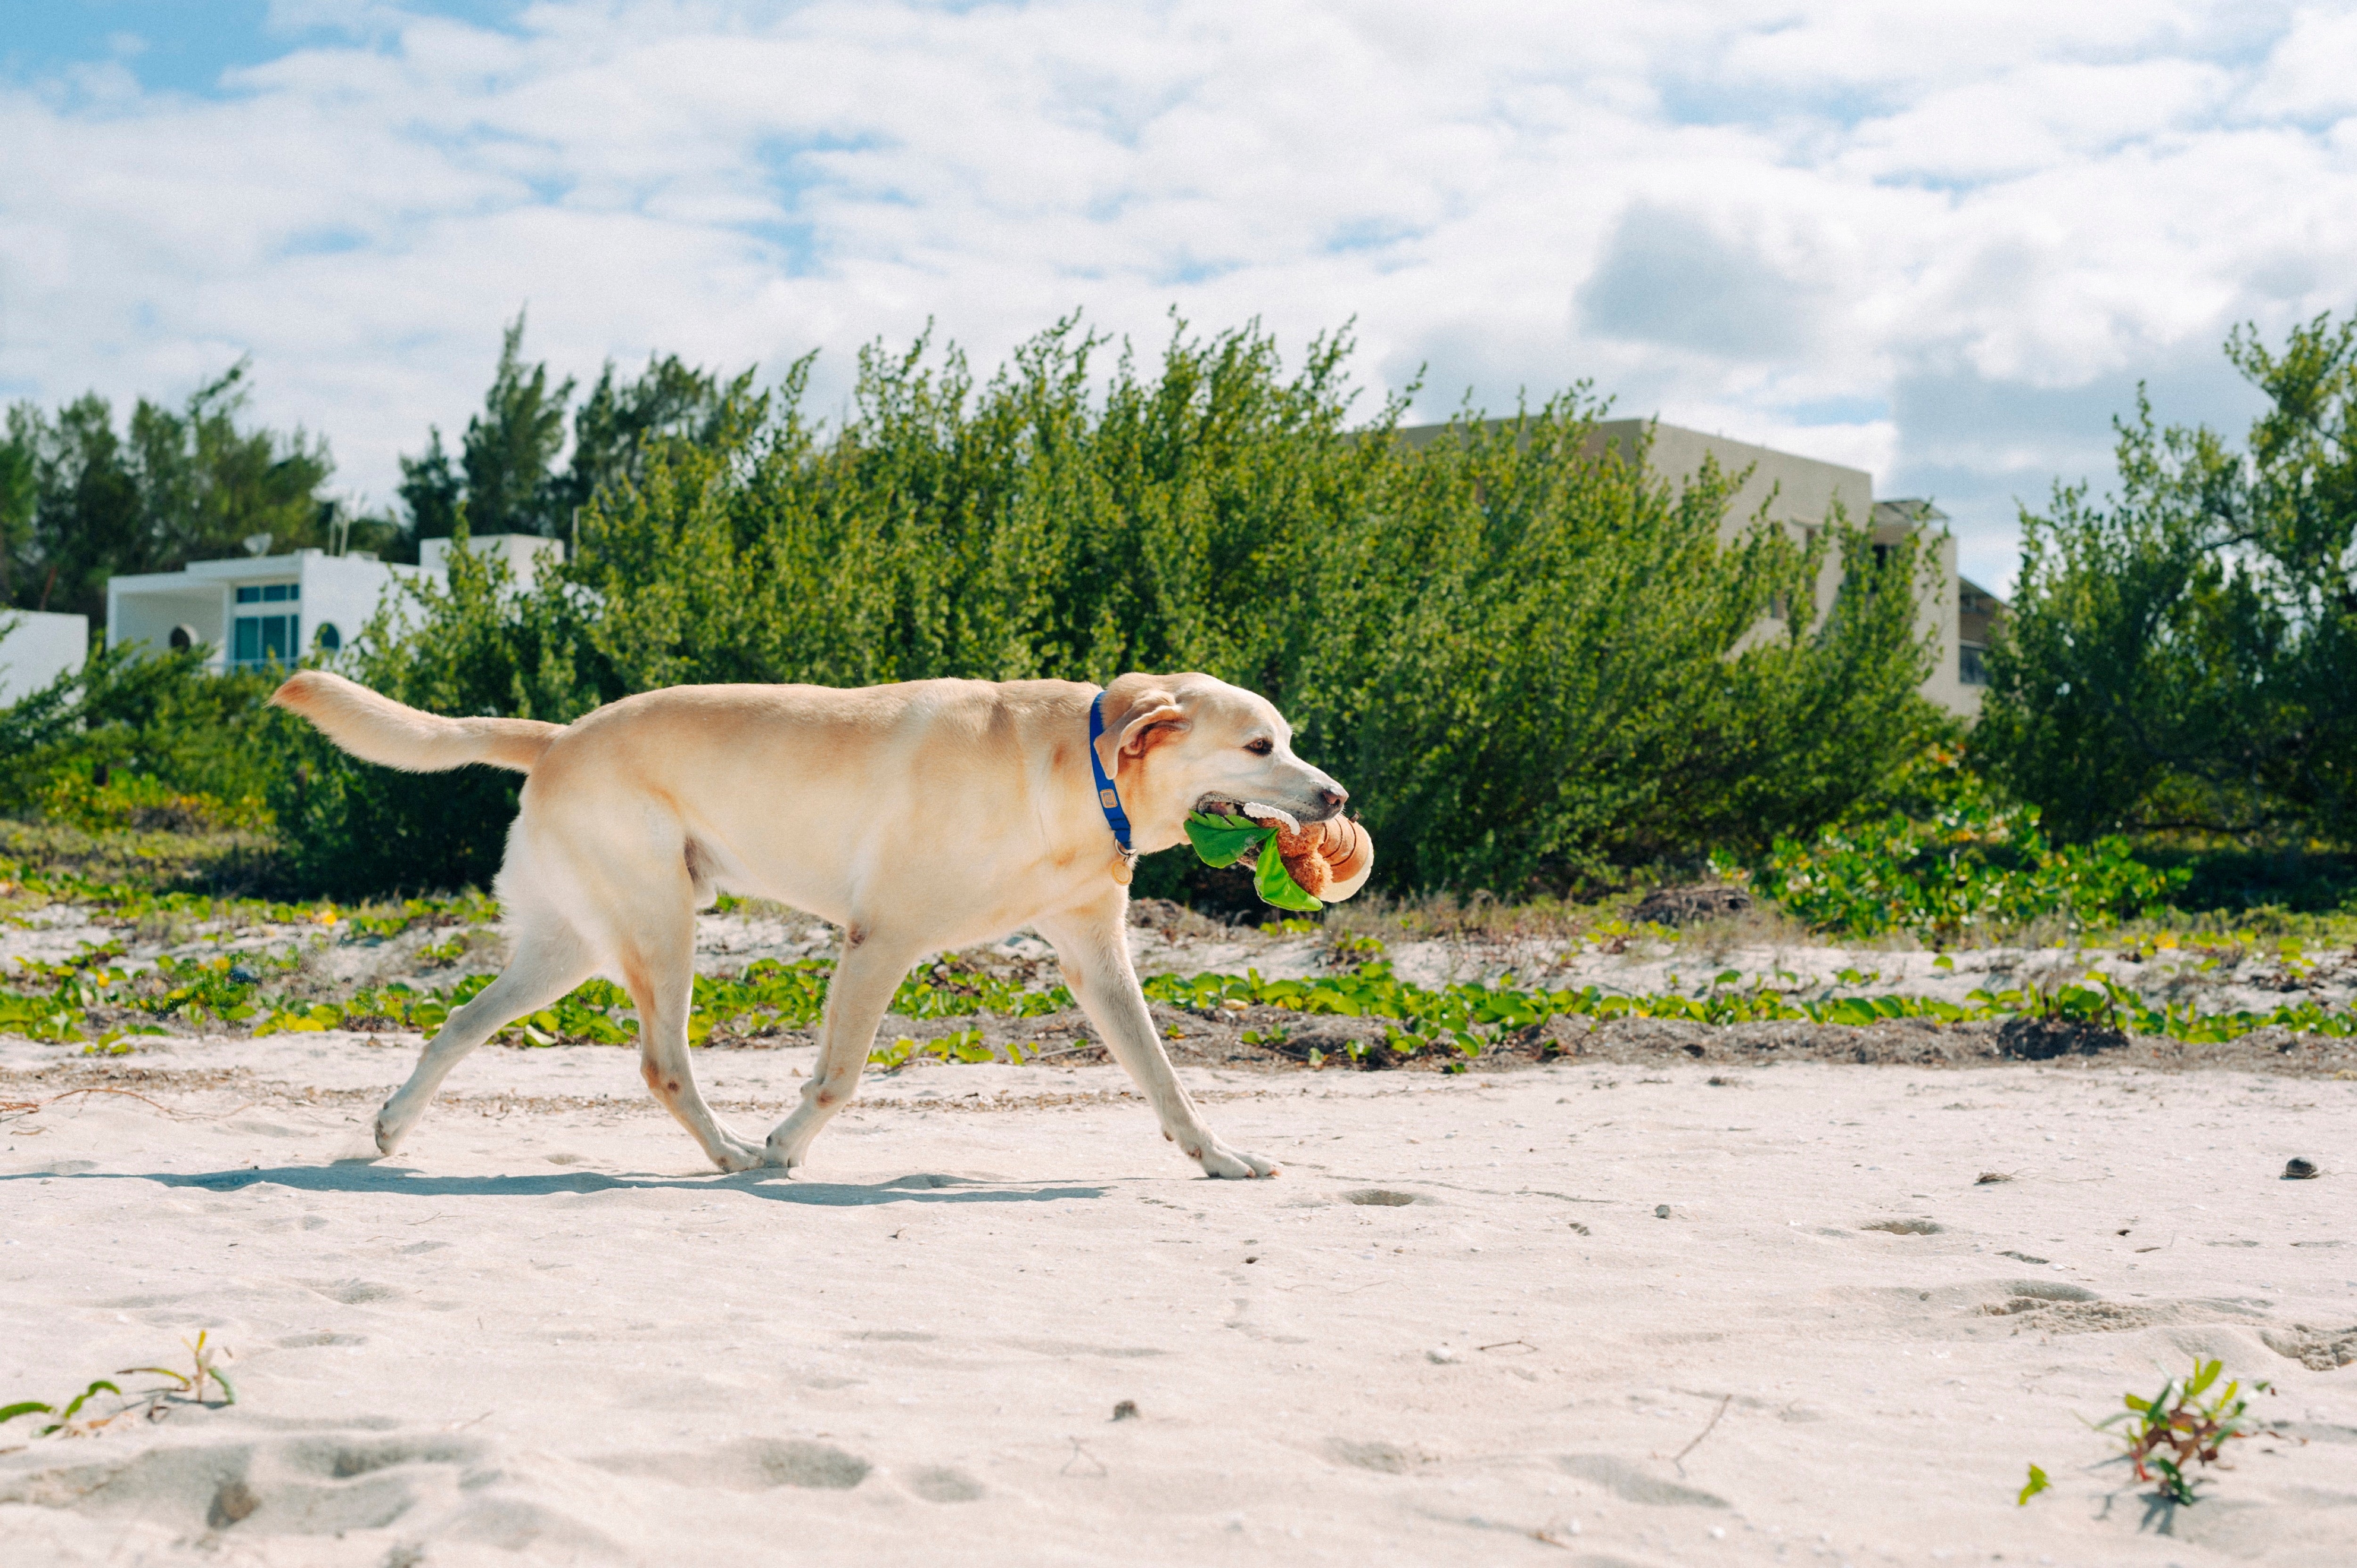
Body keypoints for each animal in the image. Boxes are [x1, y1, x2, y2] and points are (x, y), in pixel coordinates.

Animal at [267, 674, 1376, 1174]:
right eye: (1262, 745)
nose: (1336, 794)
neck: (1083, 772)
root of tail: (559, 734)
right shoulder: (881, 941)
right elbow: (838, 1078)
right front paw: (785, 1143)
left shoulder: (1096, 959)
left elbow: (1164, 1076)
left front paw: (1218, 1156)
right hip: (661, 930)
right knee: (660, 1063)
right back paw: (730, 1154)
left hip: (570, 947)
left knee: (458, 1021)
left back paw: (393, 1125)